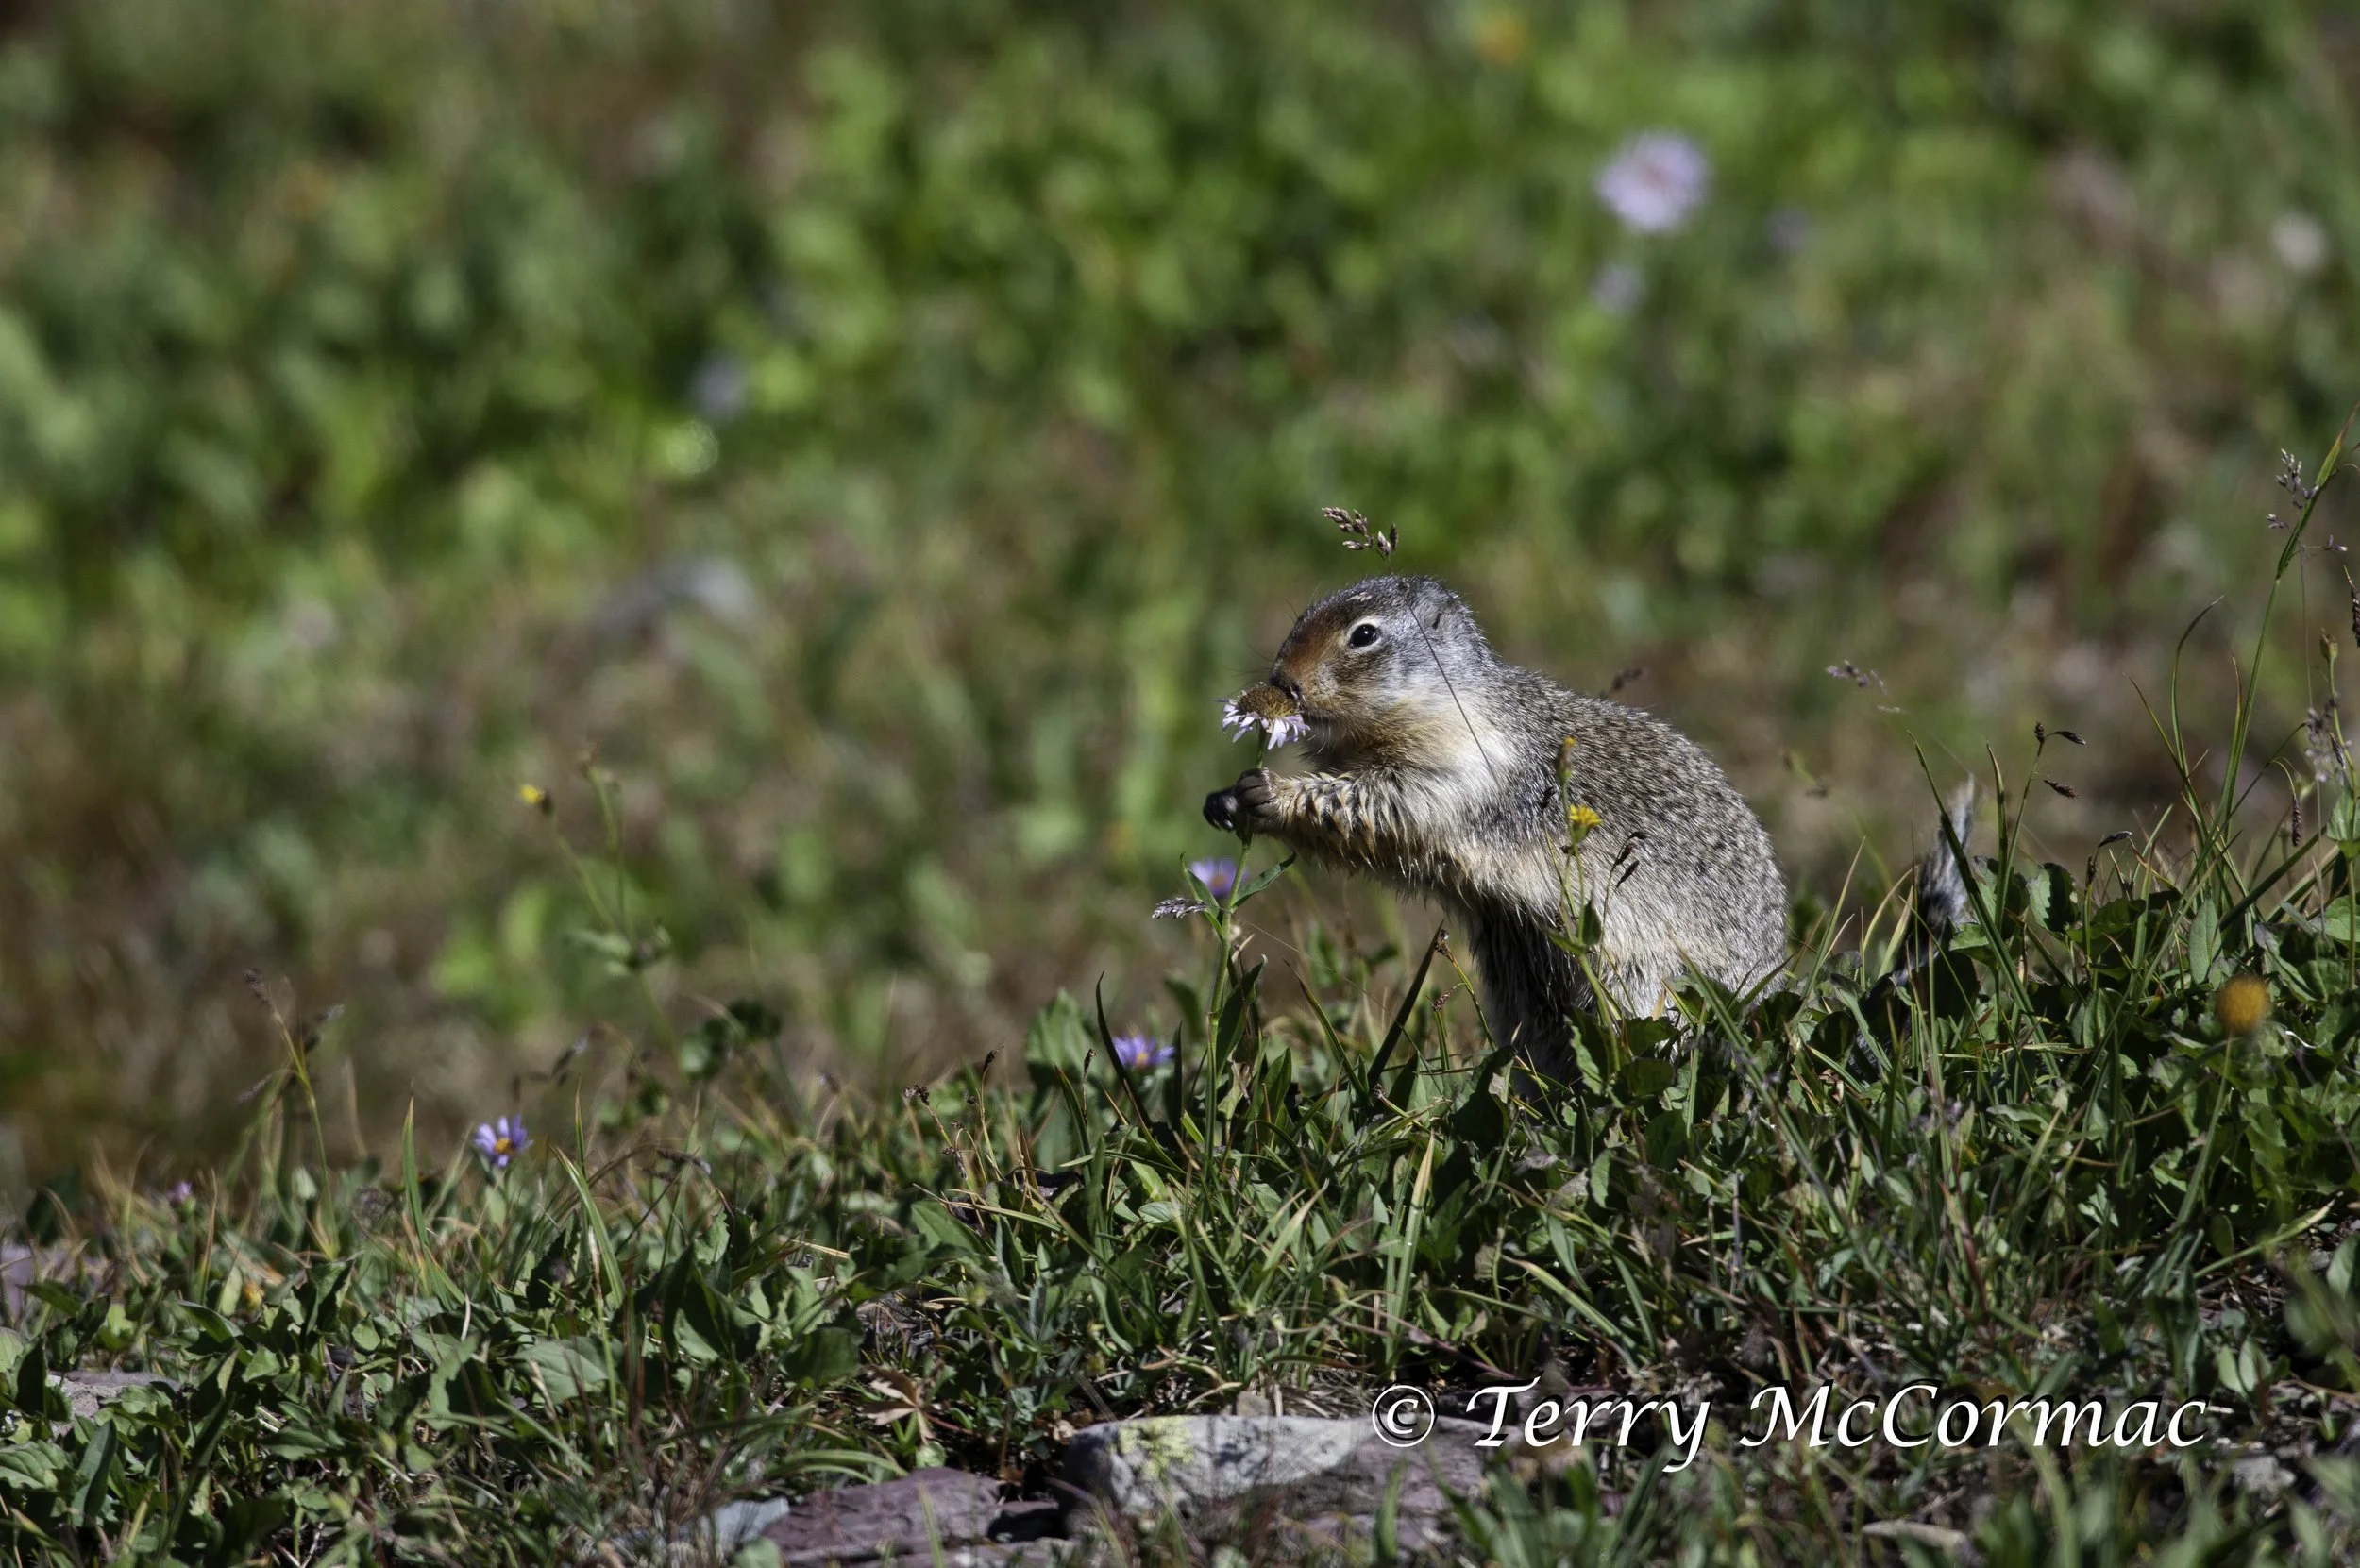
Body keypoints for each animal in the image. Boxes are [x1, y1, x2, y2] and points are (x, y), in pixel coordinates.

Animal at [1203, 573, 1789, 1080]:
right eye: (1302, 617)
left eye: (1364, 634)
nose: (1281, 681)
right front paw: (1223, 799)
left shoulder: (1461, 770)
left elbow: (1383, 803)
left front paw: (1270, 792)